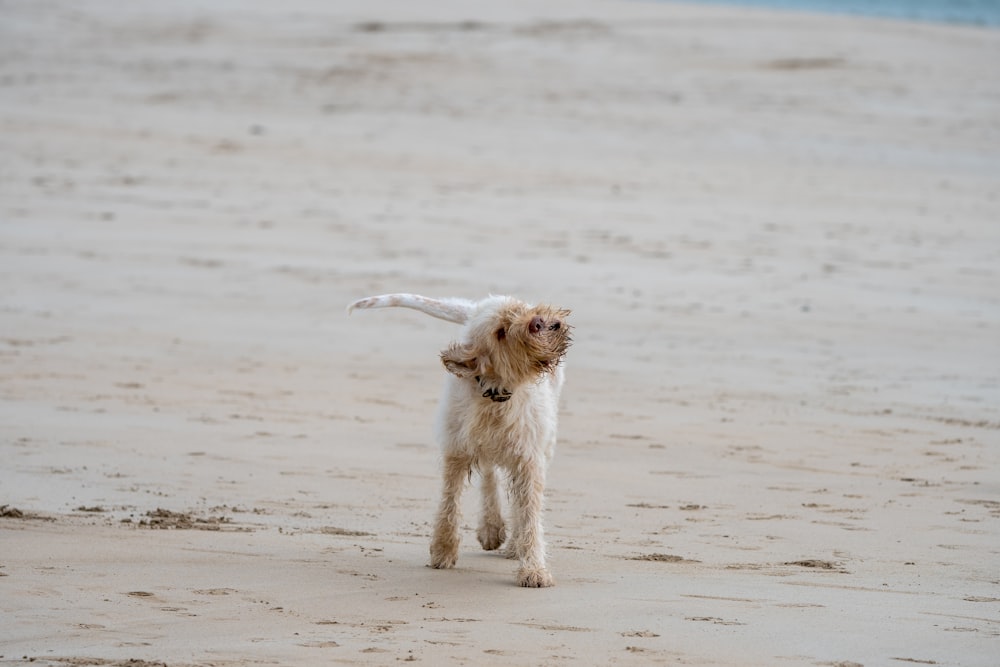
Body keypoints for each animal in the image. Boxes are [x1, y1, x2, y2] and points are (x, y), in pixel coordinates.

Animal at [350, 294, 572, 588]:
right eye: (501, 333)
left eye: (521, 309)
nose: (541, 322)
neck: (496, 394)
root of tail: (477, 308)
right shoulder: (455, 451)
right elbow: (449, 501)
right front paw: (443, 550)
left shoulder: (528, 460)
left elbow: (529, 516)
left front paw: (533, 569)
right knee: (489, 475)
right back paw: (491, 527)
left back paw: (511, 543)